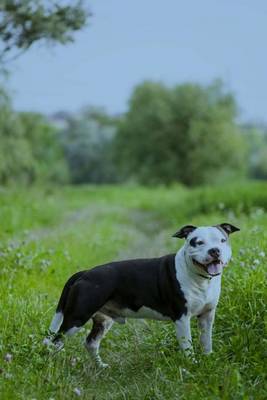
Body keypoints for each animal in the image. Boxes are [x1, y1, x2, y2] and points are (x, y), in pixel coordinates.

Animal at [45, 223, 240, 368]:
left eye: (222, 240)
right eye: (198, 242)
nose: (215, 250)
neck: (200, 278)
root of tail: (84, 273)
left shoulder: (207, 316)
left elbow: (206, 341)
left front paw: (208, 360)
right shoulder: (182, 318)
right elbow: (187, 346)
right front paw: (191, 366)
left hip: (103, 320)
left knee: (90, 343)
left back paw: (101, 367)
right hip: (76, 318)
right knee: (55, 342)